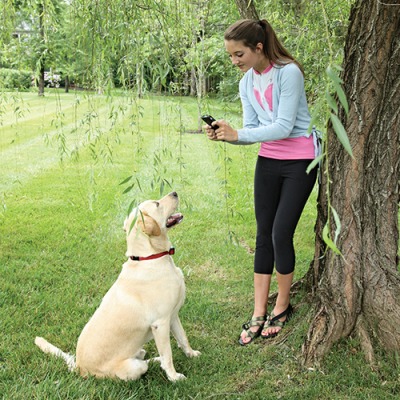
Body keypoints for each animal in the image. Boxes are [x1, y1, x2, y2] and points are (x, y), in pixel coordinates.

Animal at [35, 191, 200, 382]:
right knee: (146, 363)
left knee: (145, 356)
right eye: (157, 204)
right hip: (133, 367)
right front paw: (174, 377)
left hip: (139, 352)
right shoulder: (160, 323)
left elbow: (183, 338)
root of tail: (78, 367)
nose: (175, 193)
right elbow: (168, 355)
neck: (150, 257)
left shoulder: (173, 316)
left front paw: (191, 354)